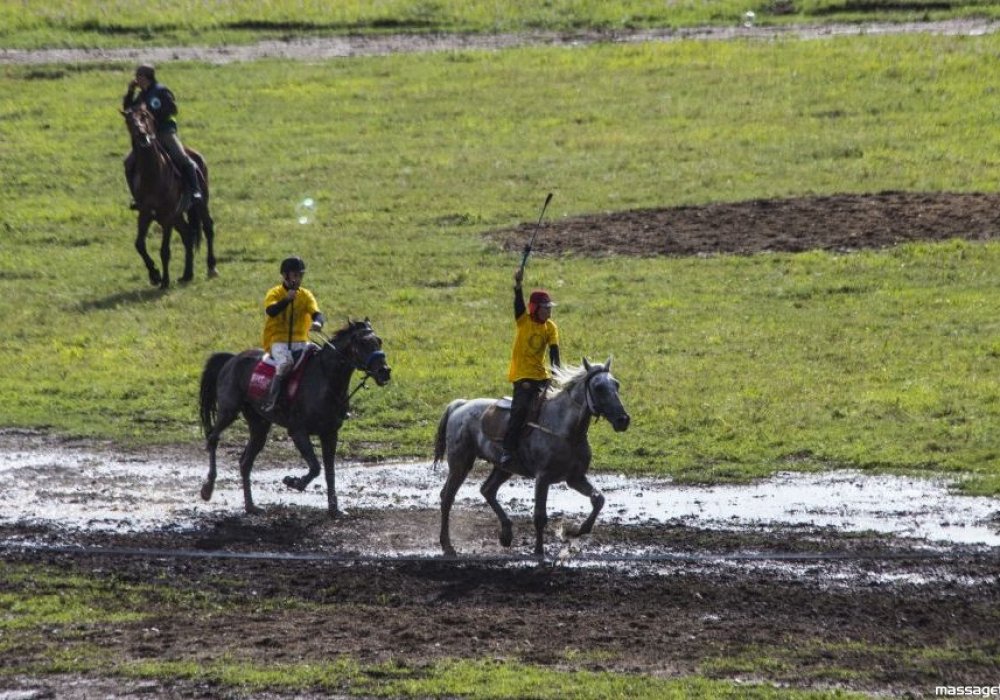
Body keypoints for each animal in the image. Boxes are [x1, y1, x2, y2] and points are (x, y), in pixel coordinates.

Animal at [122, 105, 216, 286]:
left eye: (144, 116)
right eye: (129, 121)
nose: (142, 136)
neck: (152, 174)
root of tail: (195, 155)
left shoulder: (167, 217)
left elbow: (164, 250)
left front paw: (164, 280)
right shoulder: (145, 214)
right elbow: (139, 245)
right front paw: (155, 275)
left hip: (200, 204)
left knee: (208, 228)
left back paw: (211, 267)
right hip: (177, 216)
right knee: (188, 235)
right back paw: (187, 274)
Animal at [198, 318, 390, 516]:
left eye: (379, 341)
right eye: (363, 343)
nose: (384, 371)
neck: (325, 380)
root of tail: (232, 359)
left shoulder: (330, 434)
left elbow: (329, 471)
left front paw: (334, 509)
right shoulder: (297, 431)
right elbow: (315, 467)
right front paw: (294, 482)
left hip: (259, 425)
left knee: (245, 462)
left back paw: (251, 506)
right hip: (229, 411)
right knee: (213, 438)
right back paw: (207, 489)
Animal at [434, 358, 628, 556]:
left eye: (616, 384)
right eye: (598, 387)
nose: (623, 420)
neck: (565, 430)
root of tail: (460, 406)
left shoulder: (575, 478)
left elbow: (599, 499)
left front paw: (579, 530)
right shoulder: (543, 478)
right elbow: (540, 516)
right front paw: (539, 550)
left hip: (503, 468)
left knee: (487, 490)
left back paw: (506, 534)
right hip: (460, 463)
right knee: (447, 497)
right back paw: (447, 545)